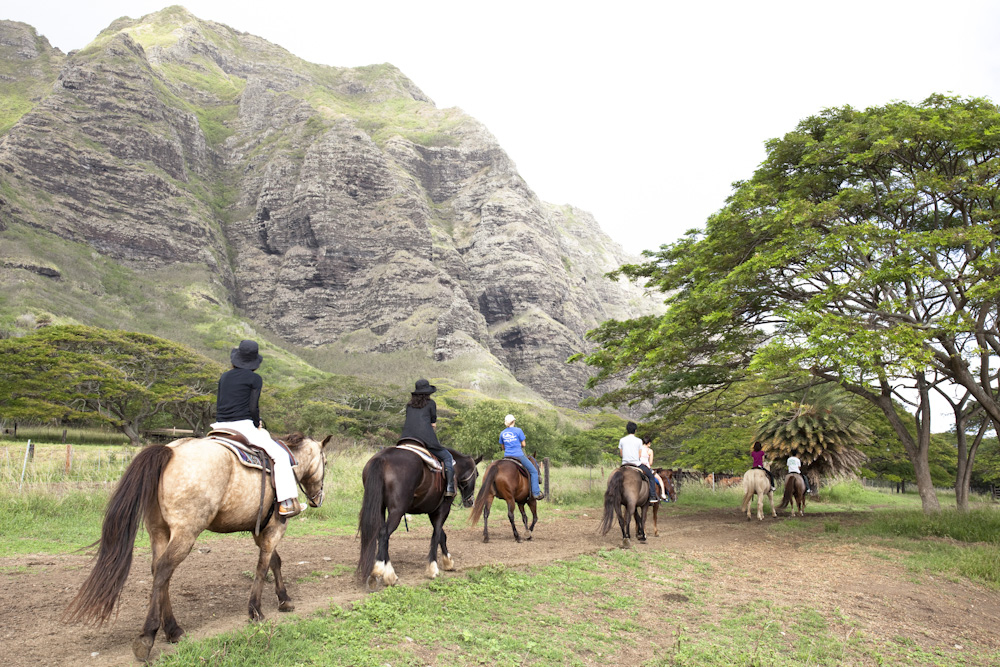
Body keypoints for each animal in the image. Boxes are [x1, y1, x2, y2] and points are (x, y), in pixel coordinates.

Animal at [64, 434, 330, 664]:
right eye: (325, 462)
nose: (318, 498)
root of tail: (171, 451)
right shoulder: (275, 527)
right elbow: (263, 566)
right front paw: (256, 610)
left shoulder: (261, 530)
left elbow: (274, 561)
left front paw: (283, 599)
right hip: (185, 533)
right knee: (164, 569)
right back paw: (147, 637)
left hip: (159, 532)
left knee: (159, 572)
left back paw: (173, 630)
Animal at [356, 444, 480, 588]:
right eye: (477, 474)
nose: (470, 501)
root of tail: (382, 458)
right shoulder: (443, 508)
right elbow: (436, 535)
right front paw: (433, 568)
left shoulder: (433, 511)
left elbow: (441, 535)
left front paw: (447, 561)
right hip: (397, 511)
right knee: (384, 534)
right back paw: (378, 569)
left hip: (381, 508)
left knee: (381, 534)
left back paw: (390, 574)